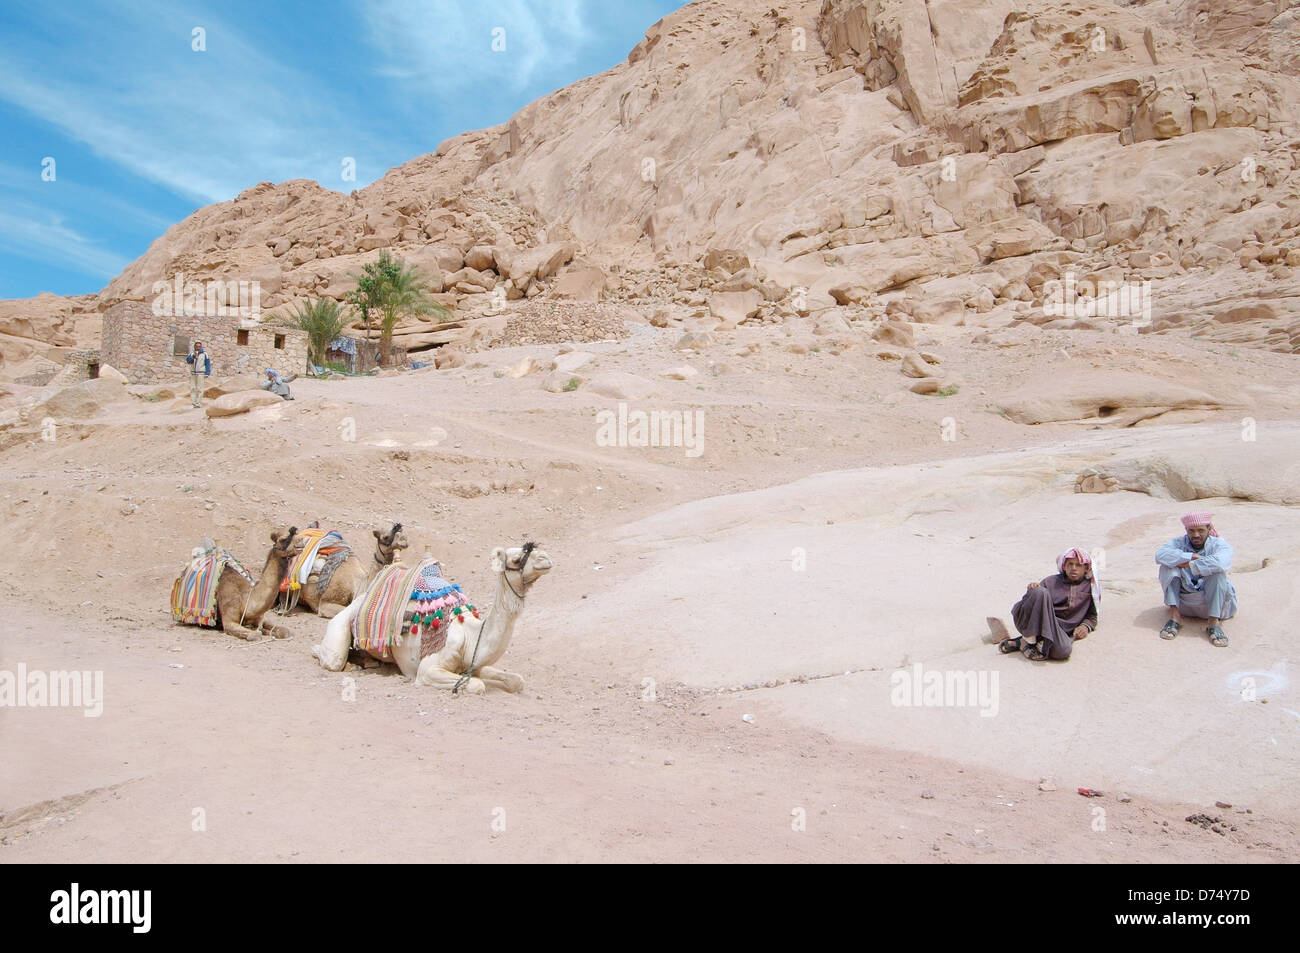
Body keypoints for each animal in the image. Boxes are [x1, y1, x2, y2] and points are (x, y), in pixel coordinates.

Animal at [312, 543, 551, 691]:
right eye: (517, 558)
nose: (546, 558)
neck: (470, 634)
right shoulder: (428, 669)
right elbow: (477, 685)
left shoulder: (475, 664)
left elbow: (517, 681)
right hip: (345, 617)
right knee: (332, 658)